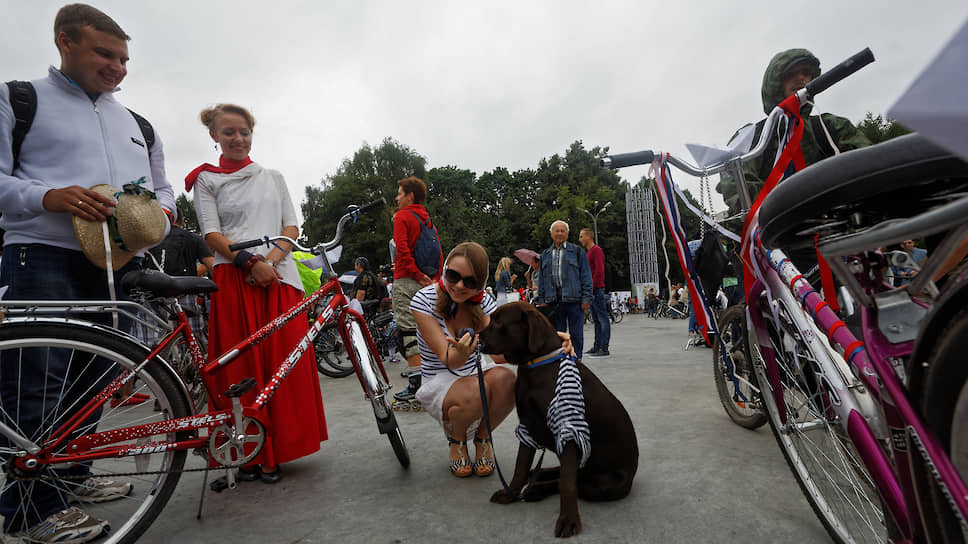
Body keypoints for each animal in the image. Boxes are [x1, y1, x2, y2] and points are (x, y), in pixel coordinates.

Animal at [480, 304, 640, 536]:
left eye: (499, 322)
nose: (476, 336)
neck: (536, 366)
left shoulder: (570, 431)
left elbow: (567, 484)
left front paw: (568, 520)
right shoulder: (527, 426)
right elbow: (520, 467)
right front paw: (510, 493)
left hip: (605, 484)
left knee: (576, 481)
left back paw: (536, 489)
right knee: (566, 473)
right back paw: (538, 478)